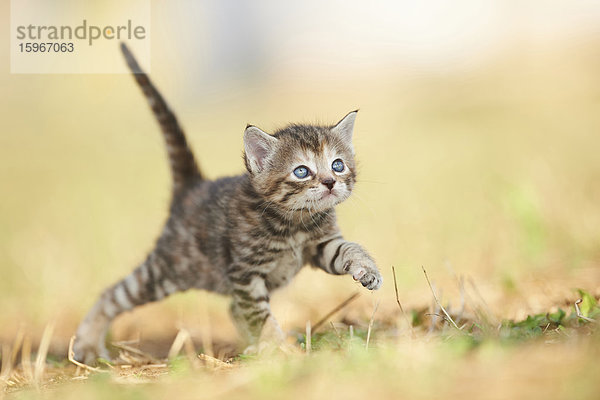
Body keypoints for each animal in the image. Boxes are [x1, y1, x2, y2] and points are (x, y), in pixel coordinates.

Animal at [72, 44, 382, 366]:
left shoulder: (320, 244)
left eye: (337, 165)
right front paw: (276, 347)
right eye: (301, 171)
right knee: (113, 294)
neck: (294, 222)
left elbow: (347, 248)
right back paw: (87, 343)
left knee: (233, 308)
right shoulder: (244, 273)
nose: (330, 182)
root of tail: (193, 187)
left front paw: (366, 269)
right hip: (169, 270)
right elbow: (259, 313)